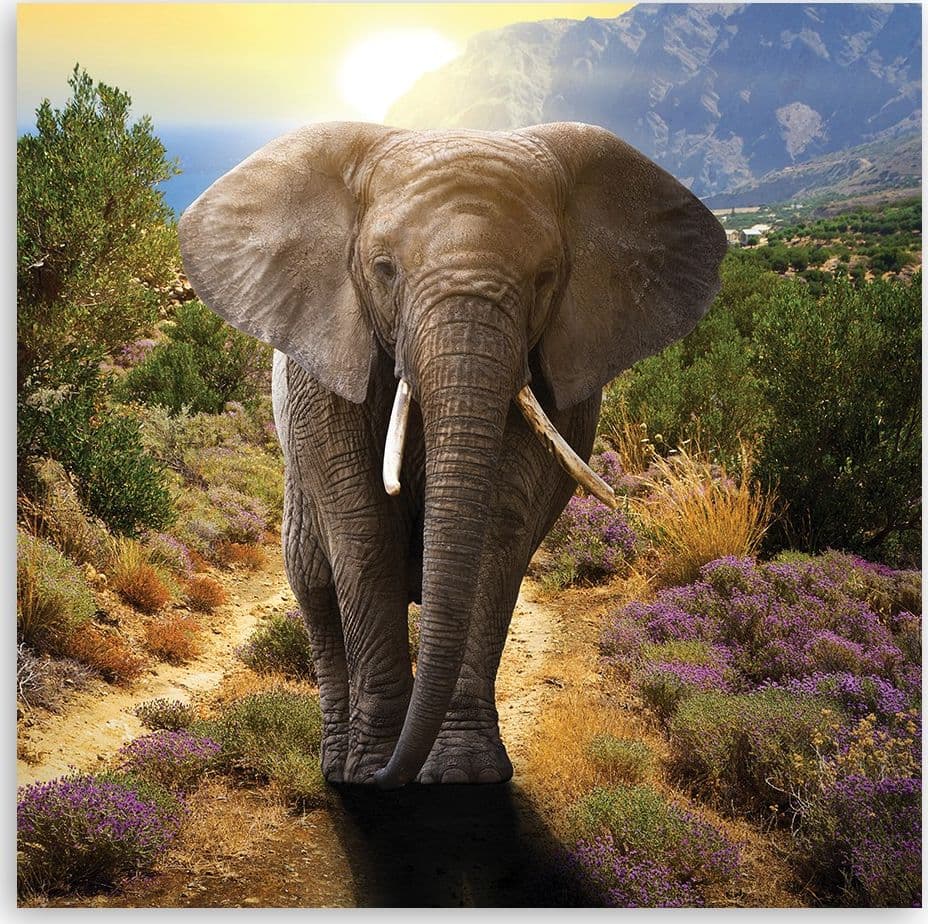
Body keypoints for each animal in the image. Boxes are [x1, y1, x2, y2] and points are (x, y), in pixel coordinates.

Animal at [178, 121, 726, 789]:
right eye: (384, 269)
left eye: (546, 278)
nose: (389, 777)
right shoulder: (323, 368)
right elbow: (363, 533)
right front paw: (371, 771)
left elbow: (498, 531)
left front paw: (464, 774)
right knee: (313, 582)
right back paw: (337, 766)